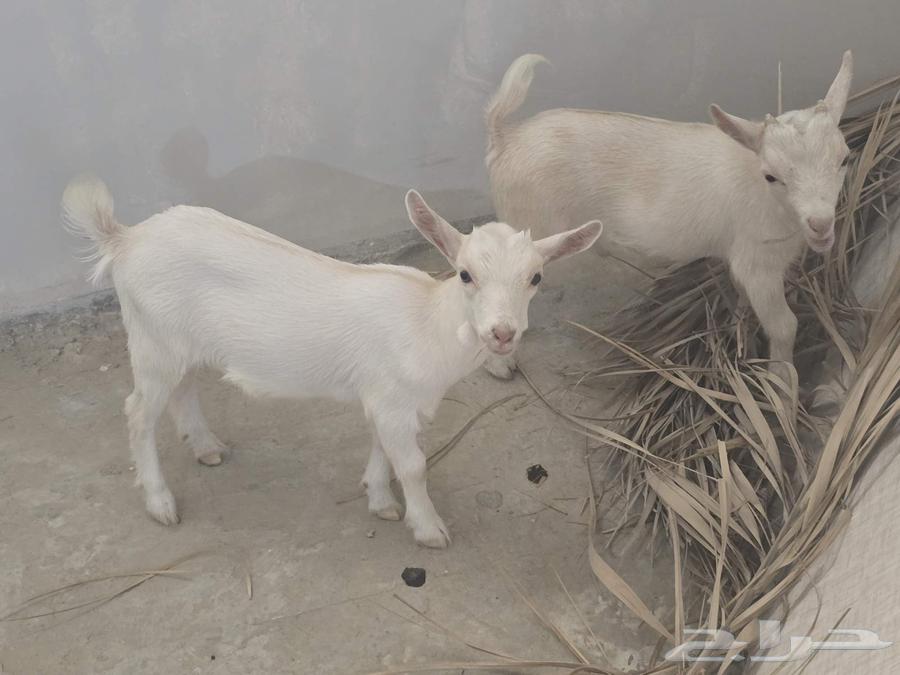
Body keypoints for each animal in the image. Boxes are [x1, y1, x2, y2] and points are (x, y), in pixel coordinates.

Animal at [61, 176, 601, 547]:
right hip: (152, 340)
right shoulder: (393, 402)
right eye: (465, 274)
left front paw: (378, 499)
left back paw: (206, 447)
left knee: (184, 389)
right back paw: (160, 502)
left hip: (179, 341)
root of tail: (124, 239)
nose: (503, 333)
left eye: (535, 278)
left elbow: (383, 450)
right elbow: (413, 466)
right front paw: (428, 529)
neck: (429, 322)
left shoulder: (389, 399)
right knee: (138, 413)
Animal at [484, 52, 853, 382]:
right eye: (771, 176)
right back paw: (500, 366)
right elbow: (784, 326)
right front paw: (783, 384)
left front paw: (740, 331)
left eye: (845, 159)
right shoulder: (758, 262)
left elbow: (741, 294)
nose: (821, 225)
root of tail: (506, 138)